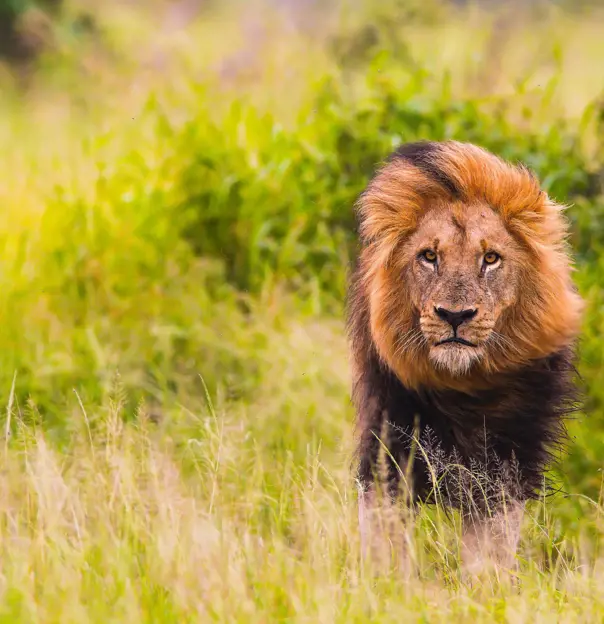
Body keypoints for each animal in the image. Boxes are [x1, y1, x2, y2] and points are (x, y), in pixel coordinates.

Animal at [346, 139, 584, 572]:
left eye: (490, 259)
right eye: (428, 256)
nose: (455, 315)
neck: (463, 390)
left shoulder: (506, 463)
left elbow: (489, 549)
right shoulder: (389, 442)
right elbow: (384, 536)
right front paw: (386, 580)